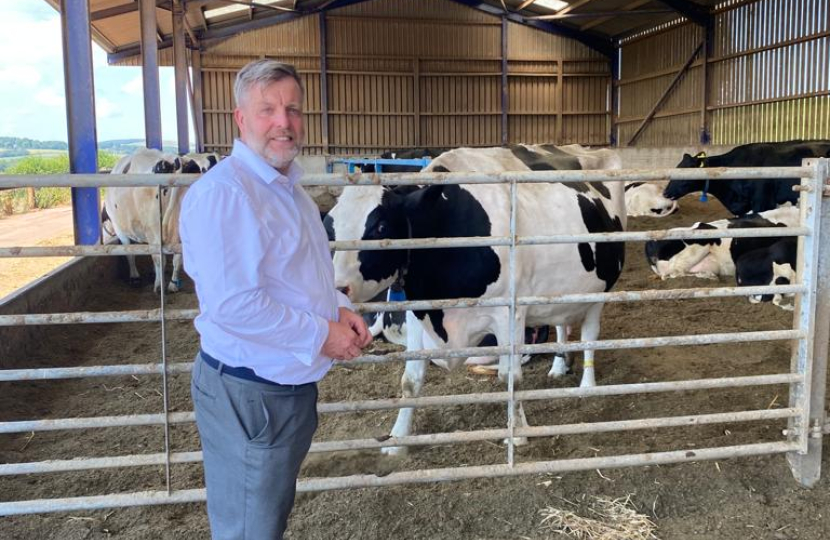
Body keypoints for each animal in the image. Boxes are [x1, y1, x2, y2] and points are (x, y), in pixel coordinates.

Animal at [328, 143, 628, 452]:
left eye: (380, 227)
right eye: (330, 225)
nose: (338, 289)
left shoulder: (509, 313)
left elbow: (510, 377)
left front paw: (517, 432)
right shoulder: (417, 312)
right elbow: (410, 380)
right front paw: (398, 438)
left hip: (599, 290)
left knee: (589, 334)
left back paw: (587, 385)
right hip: (557, 294)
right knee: (560, 325)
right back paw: (558, 367)